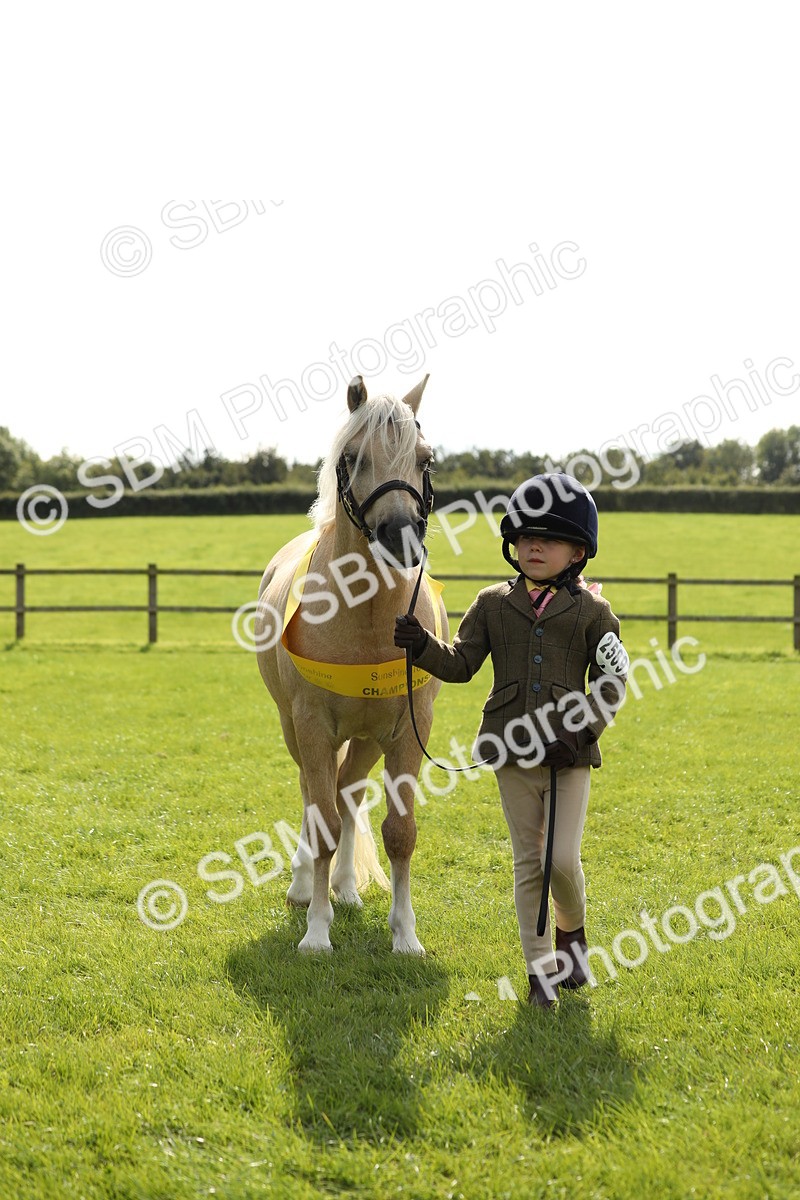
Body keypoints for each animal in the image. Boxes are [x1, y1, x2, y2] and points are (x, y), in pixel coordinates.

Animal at [255, 374, 448, 954]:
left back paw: (344, 887)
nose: (401, 535)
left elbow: (399, 833)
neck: (366, 617)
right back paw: (305, 889)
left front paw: (405, 935)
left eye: (426, 459)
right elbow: (319, 821)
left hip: (365, 738)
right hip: (295, 729)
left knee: (347, 794)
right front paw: (317, 933)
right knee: (314, 796)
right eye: (354, 457)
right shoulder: (313, 726)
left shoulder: (408, 731)